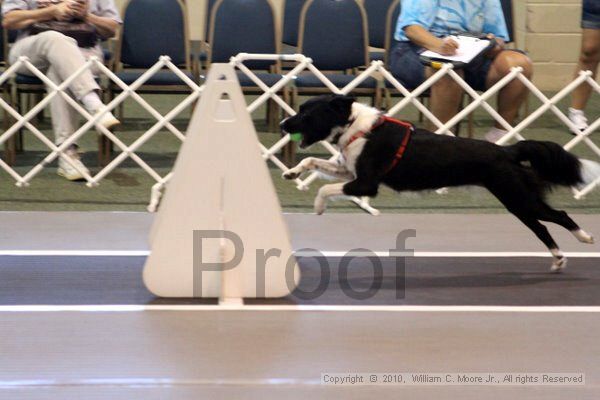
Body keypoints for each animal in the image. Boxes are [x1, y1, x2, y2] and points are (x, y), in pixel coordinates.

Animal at [282, 95, 600, 274]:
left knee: (558, 216)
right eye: (298, 109)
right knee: (541, 227)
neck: (355, 126)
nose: (285, 124)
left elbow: (324, 189)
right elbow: (312, 161)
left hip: (519, 197)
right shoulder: (350, 173)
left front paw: (318, 206)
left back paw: (585, 238)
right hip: (516, 201)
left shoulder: (366, 183)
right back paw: (559, 260)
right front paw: (292, 173)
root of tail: (507, 150)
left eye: (306, 114)